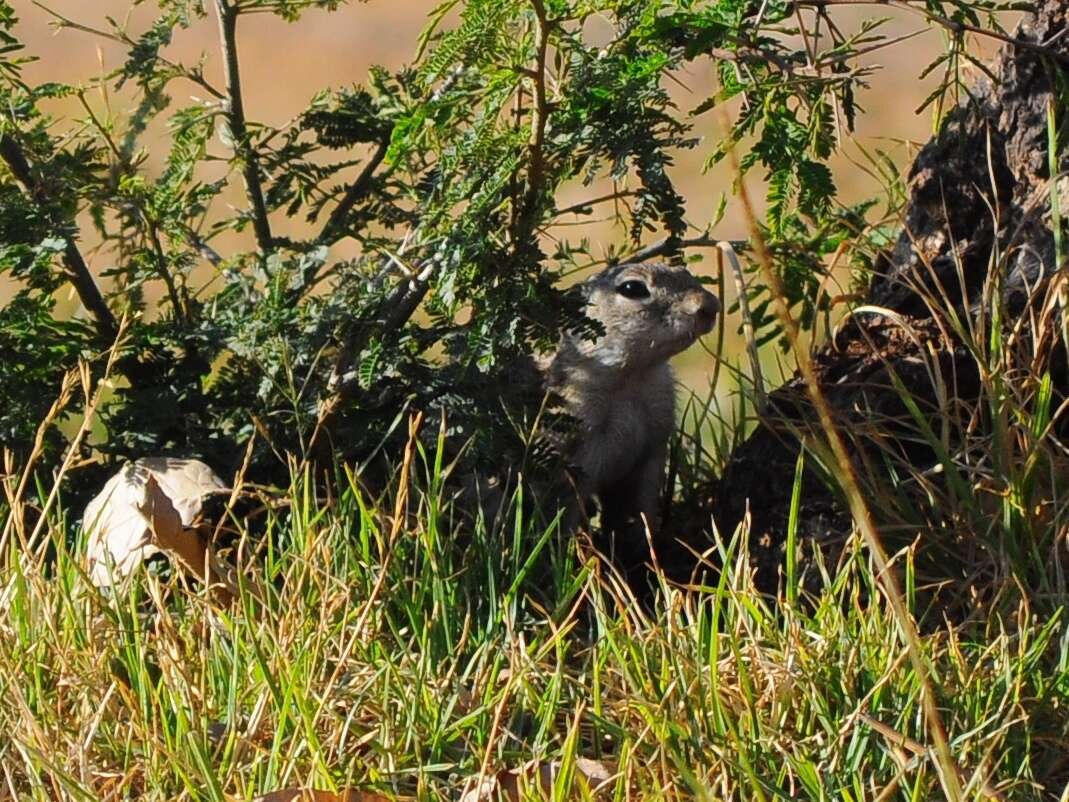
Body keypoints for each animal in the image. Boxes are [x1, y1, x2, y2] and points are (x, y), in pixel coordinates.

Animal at [543, 261, 718, 573]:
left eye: (685, 271)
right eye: (632, 288)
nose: (710, 305)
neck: (632, 378)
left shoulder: (653, 443)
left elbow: (641, 503)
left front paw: (643, 548)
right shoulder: (572, 451)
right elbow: (565, 511)